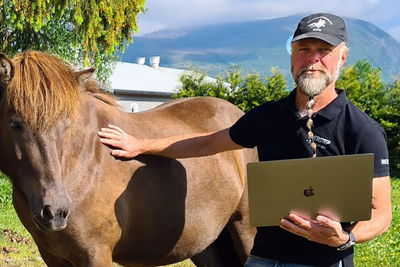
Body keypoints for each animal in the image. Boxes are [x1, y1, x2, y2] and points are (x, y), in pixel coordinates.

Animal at [0, 52, 256, 267]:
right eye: (15, 124)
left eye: (66, 125)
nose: (55, 211)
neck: (80, 165)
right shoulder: (52, 256)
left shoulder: (96, 255)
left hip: (245, 230)